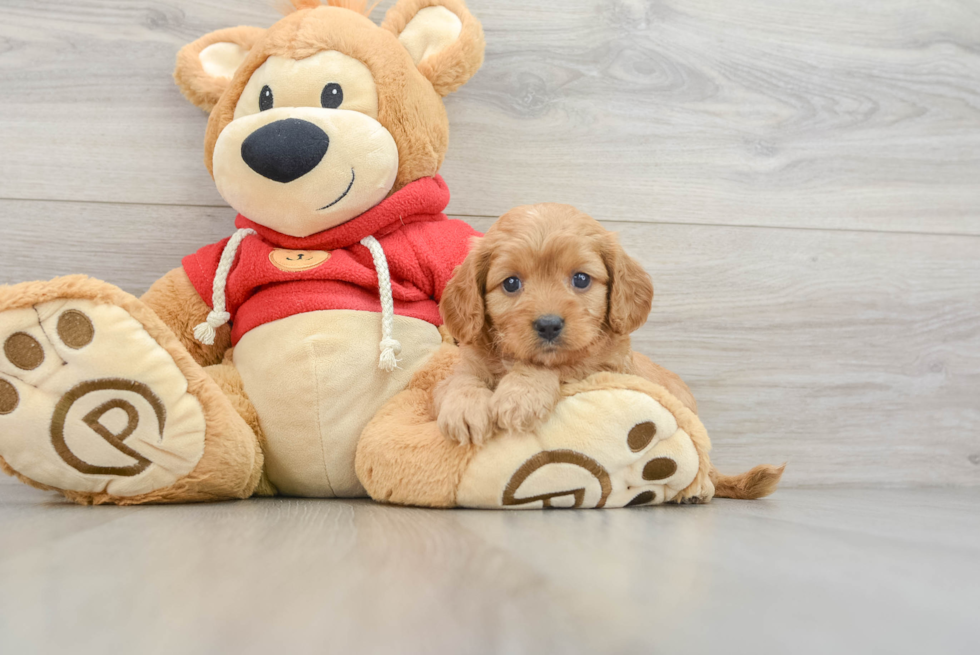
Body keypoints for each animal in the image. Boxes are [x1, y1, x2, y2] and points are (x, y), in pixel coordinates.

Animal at [432, 202, 784, 500]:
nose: (548, 325)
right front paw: (465, 409)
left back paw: (697, 488)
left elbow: (554, 366)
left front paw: (520, 395)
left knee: (704, 463)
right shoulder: (468, 365)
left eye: (581, 279)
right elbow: (459, 381)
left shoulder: (600, 367)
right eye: (511, 284)